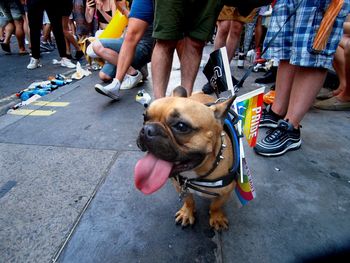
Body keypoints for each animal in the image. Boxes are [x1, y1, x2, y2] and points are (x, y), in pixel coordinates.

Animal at [135, 87, 238, 231]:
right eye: (145, 117)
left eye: (181, 126)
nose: (147, 129)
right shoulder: (179, 185)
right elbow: (188, 200)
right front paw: (187, 213)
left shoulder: (225, 192)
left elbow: (215, 206)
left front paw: (217, 217)